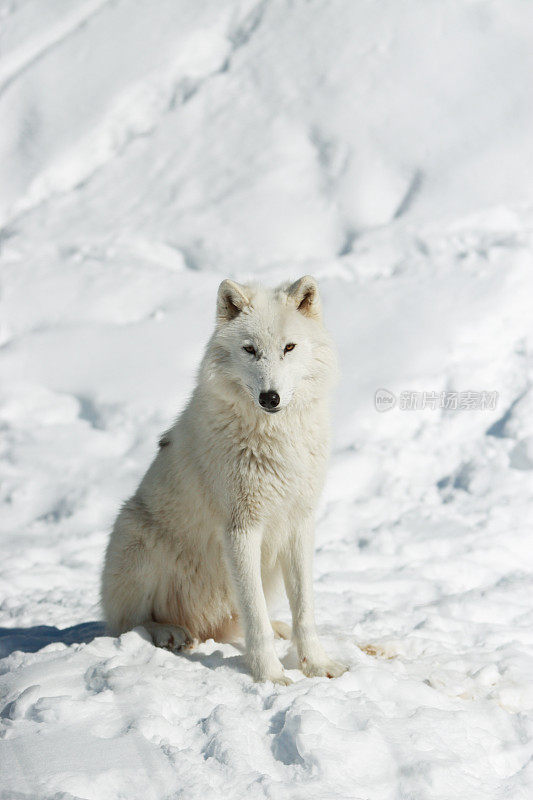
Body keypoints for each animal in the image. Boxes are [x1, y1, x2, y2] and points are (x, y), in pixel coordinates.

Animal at [102, 276, 348, 680]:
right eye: (250, 350)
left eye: (289, 348)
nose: (270, 397)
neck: (275, 440)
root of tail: (200, 624)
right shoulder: (241, 529)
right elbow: (255, 617)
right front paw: (270, 677)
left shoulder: (299, 525)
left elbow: (304, 611)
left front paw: (317, 665)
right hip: (136, 535)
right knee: (129, 623)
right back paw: (170, 632)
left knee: (233, 625)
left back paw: (275, 630)